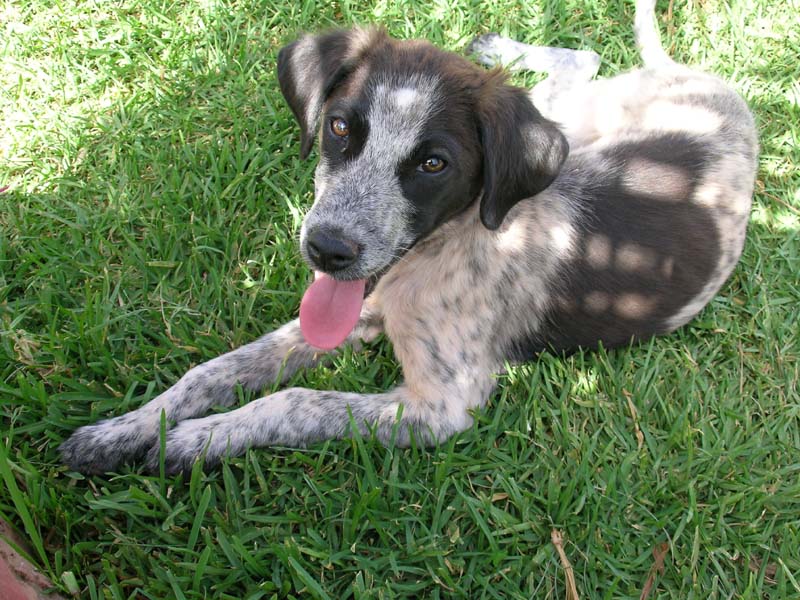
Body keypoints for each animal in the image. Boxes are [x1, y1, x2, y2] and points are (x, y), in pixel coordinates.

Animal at [61, 0, 756, 476]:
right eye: (340, 126)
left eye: (433, 164)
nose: (326, 249)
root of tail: (708, 82)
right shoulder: (349, 315)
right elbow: (210, 370)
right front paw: (126, 428)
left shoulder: (440, 406)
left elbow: (292, 400)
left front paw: (195, 439)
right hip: (572, 123)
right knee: (581, 61)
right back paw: (496, 44)